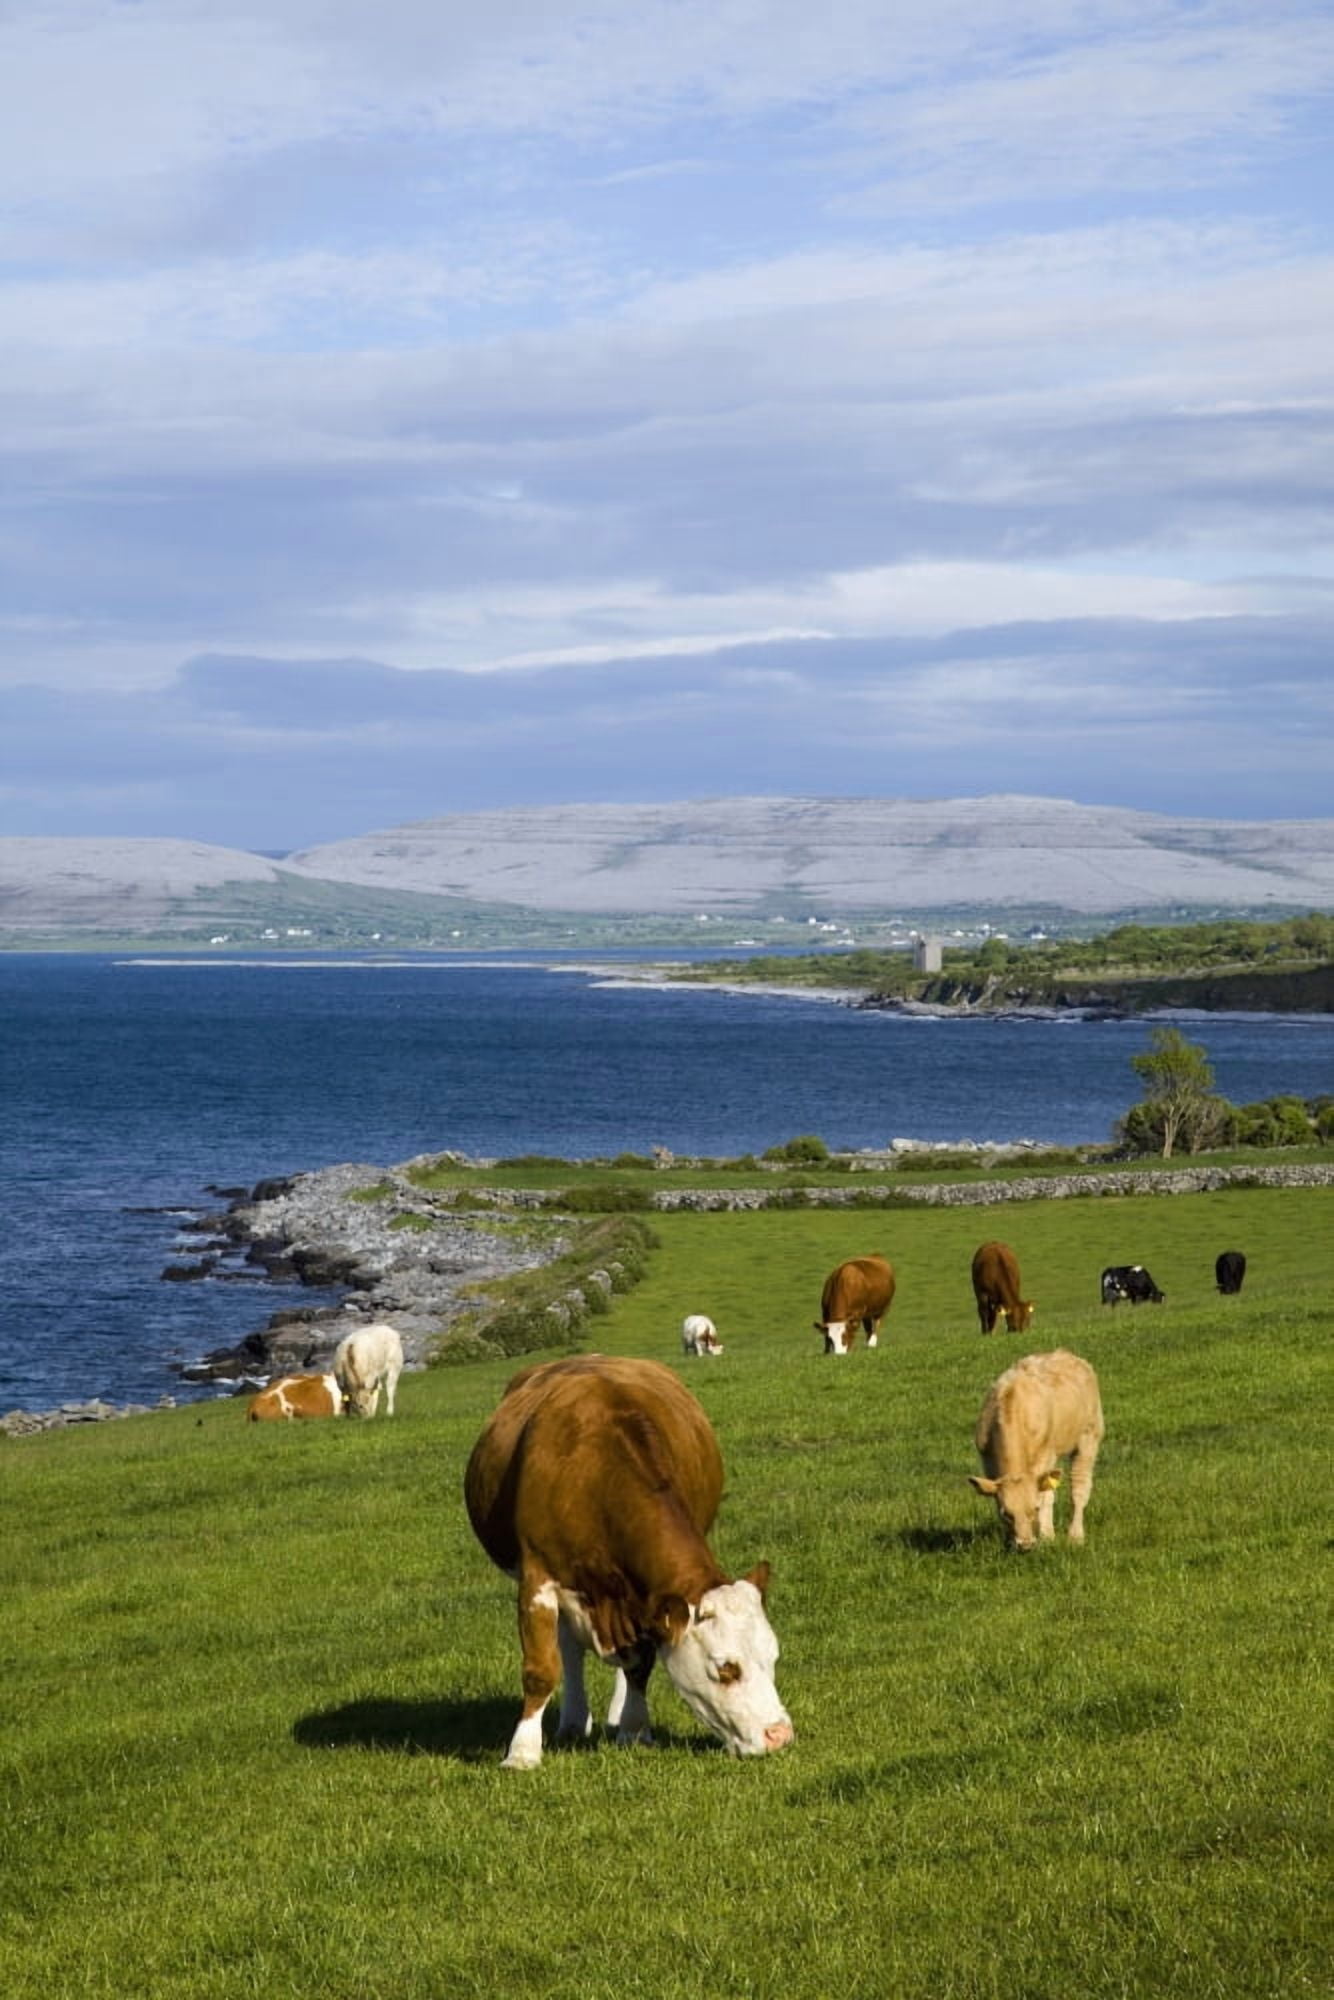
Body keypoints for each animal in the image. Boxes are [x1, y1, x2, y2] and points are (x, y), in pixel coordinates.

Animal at [464, 1354, 793, 1770]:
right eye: (726, 1669)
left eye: (773, 1656)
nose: (779, 1736)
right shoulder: (537, 1577)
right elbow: (541, 1669)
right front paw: (522, 1753)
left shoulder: (649, 1600)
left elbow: (640, 1664)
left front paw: (634, 1729)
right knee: (569, 1649)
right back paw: (573, 1721)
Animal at [968, 1349, 1105, 1551]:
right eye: (1006, 1514)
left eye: (1034, 1509)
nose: (1025, 1544)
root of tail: (1067, 1354)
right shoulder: (988, 1462)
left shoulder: (1045, 1456)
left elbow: (1046, 1496)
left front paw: (1047, 1536)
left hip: (1089, 1437)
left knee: (1079, 1487)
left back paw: (1075, 1535)